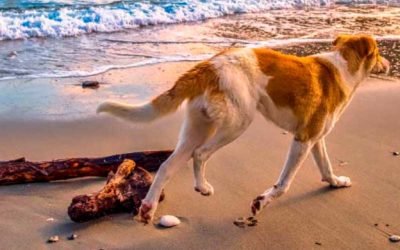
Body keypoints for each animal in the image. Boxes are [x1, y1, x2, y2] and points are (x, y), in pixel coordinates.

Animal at [98, 33, 390, 223]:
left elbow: (326, 167)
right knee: (200, 154)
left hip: (197, 128)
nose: (387, 64)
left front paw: (336, 183)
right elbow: (283, 184)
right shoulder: (303, 139)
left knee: (166, 166)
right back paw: (201, 187)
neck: (342, 66)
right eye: (377, 53)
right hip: (238, 123)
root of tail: (209, 65)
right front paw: (261, 202)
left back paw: (148, 208)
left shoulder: (315, 139)